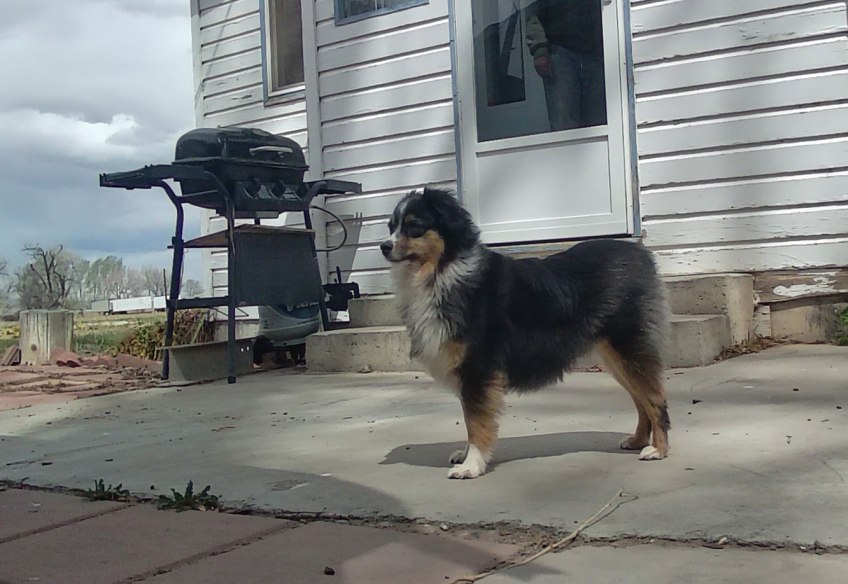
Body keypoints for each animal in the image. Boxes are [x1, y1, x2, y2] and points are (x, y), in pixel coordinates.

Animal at [381, 187, 671, 479]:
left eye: (414, 227)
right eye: (391, 227)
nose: (383, 246)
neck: (443, 270)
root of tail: (641, 254)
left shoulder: (478, 368)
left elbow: (475, 421)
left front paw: (471, 465)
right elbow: (469, 418)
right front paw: (466, 456)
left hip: (628, 348)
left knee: (654, 398)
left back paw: (658, 450)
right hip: (615, 357)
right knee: (641, 400)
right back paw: (637, 441)